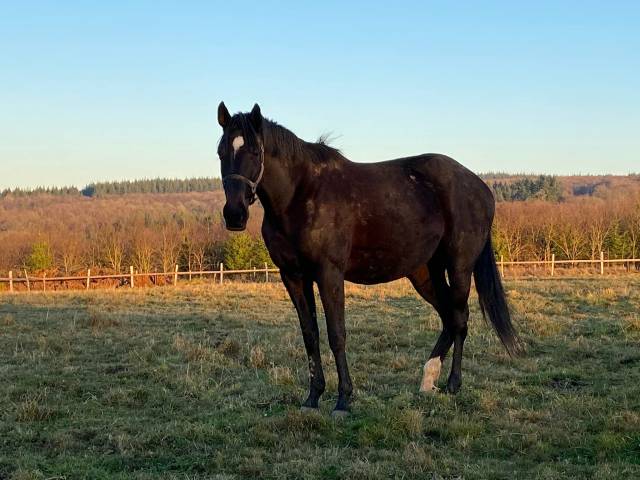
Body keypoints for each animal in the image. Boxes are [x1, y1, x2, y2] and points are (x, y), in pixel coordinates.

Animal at [218, 102, 516, 416]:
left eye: (254, 152)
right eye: (221, 151)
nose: (234, 214)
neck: (301, 194)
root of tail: (481, 188)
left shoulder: (329, 273)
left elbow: (336, 334)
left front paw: (343, 400)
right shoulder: (293, 276)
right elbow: (310, 334)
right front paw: (313, 397)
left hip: (459, 266)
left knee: (459, 317)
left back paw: (453, 384)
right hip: (425, 272)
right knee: (448, 317)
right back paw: (428, 380)